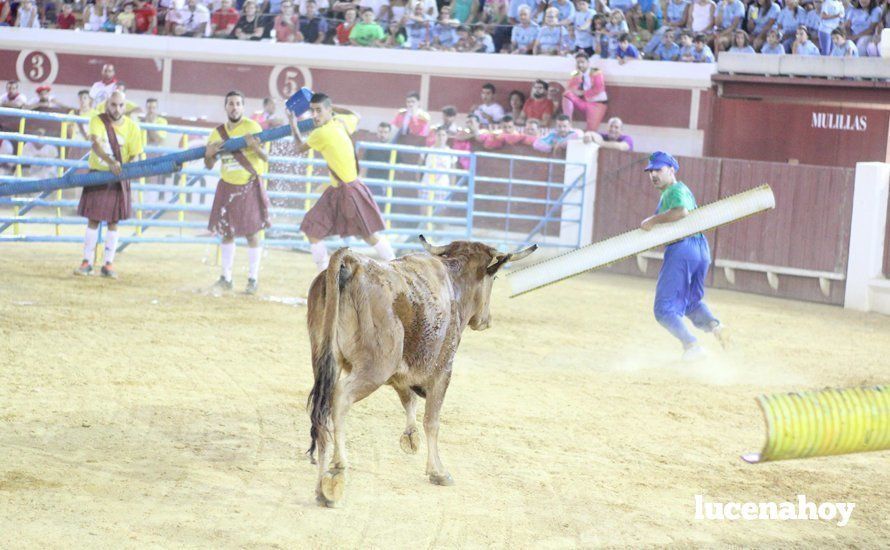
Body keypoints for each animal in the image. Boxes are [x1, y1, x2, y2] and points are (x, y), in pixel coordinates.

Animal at [306, 235, 536, 506]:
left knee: (321, 409)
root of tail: (353, 263)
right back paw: (337, 471)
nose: (486, 320)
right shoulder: (442, 370)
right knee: (340, 398)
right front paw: (438, 471)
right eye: (495, 278)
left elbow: (409, 399)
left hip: (325, 361)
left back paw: (321, 484)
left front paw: (410, 437)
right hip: (375, 368)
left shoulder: (402, 372)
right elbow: (432, 420)